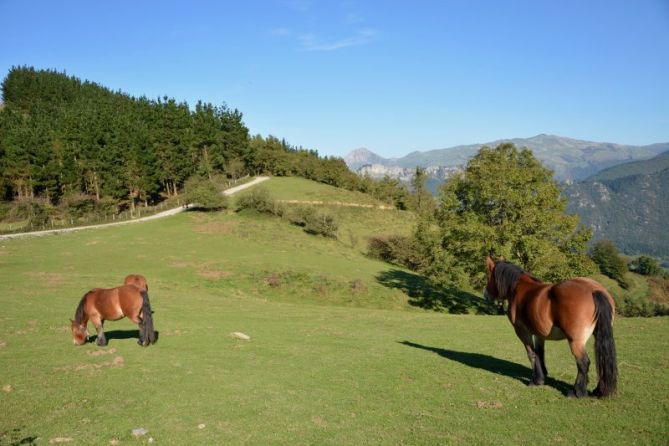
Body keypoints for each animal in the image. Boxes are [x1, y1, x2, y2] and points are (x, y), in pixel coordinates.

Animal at [482, 256, 620, 398]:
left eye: (488, 275)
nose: (485, 294)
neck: (519, 289)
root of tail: (594, 290)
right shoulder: (539, 333)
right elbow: (540, 353)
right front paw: (542, 375)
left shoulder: (522, 331)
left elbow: (532, 354)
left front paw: (536, 380)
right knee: (602, 359)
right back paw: (598, 390)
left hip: (575, 341)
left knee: (583, 362)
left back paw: (577, 392)